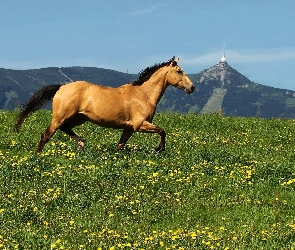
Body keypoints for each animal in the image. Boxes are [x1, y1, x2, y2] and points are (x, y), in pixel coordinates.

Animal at [15, 57, 197, 153]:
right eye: (179, 71)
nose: (192, 87)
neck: (143, 95)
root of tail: (61, 87)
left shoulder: (129, 128)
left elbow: (120, 146)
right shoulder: (139, 124)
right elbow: (162, 131)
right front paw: (159, 149)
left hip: (79, 118)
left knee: (65, 128)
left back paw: (81, 143)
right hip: (60, 117)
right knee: (46, 135)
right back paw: (39, 156)